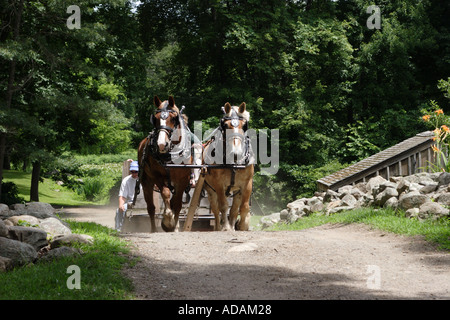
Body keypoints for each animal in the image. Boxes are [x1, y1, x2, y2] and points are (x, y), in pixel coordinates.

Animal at [139, 95, 192, 232]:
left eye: (173, 118)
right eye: (155, 119)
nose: (162, 144)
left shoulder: (182, 179)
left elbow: (177, 204)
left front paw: (174, 225)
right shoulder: (158, 176)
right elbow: (165, 194)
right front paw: (167, 221)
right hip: (146, 181)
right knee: (151, 207)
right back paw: (153, 229)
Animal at [203, 102, 253, 230]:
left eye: (244, 125)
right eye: (225, 125)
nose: (236, 153)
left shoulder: (247, 183)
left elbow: (243, 207)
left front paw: (241, 226)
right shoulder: (219, 184)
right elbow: (223, 206)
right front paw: (225, 227)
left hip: (237, 191)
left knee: (234, 208)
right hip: (210, 189)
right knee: (215, 209)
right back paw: (218, 227)